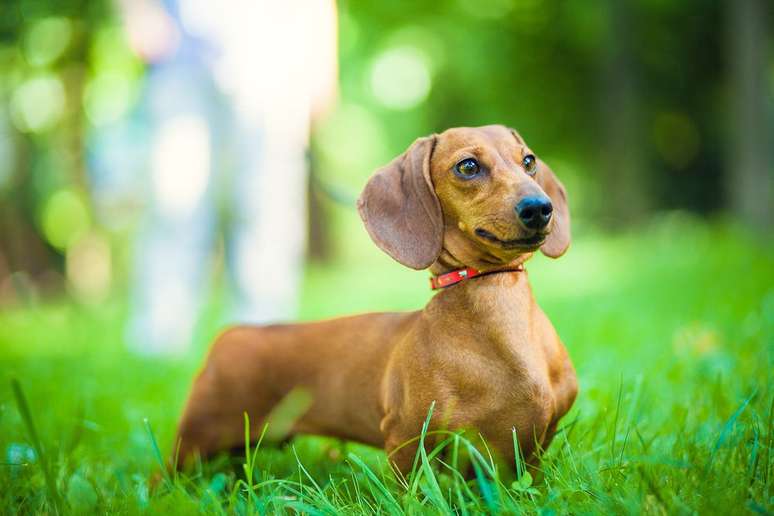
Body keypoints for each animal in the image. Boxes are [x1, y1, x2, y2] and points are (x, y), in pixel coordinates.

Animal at [174, 124, 576, 476]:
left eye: (529, 161)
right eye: (468, 166)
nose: (539, 207)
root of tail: (234, 333)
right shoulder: (406, 438)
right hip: (195, 442)